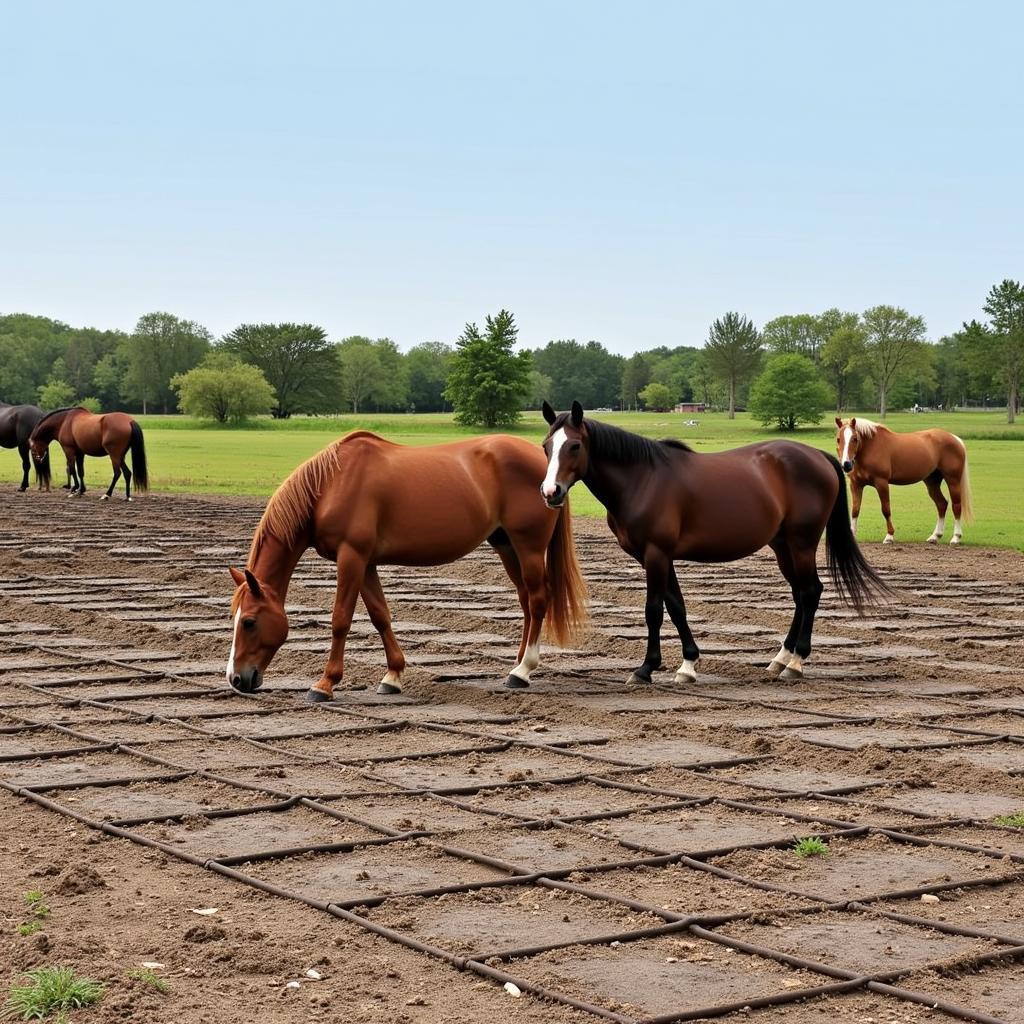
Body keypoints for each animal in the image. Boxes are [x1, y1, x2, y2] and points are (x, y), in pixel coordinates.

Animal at [228, 428, 589, 700]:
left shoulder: (351, 557)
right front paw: (393, 676)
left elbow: (341, 619)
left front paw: (325, 684)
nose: (236, 679)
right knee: (526, 600)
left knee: (539, 599)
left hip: (529, 546)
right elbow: (380, 616)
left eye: (249, 622)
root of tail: (548, 470)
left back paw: (523, 670)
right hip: (506, 545)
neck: (331, 484)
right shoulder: (366, 562)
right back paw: (516, 664)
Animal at [544, 403, 888, 684]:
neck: (642, 479)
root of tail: (819, 456)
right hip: (783, 546)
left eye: (574, 445)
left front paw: (646, 668)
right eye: (547, 446)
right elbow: (676, 606)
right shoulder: (658, 556)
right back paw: (781, 658)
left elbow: (653, 609)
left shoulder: (656, 554)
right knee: (800, 596)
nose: (551, 492)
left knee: (810, 592)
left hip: (802, 542)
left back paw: (796, 662)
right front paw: (688, 664)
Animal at [835, 417, 970, 548]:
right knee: (942, 504)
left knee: (956, 506)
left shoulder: (881, 483)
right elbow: (855, 510)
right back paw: (935, 536)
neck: (871, 447)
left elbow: (886, 509)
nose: (846, 464)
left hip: (953, 481)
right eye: (838, 439)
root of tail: (955, 439)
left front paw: (889, 536)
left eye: (855, 438)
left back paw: (956, 537)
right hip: (932, 482)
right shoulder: (856, 485)